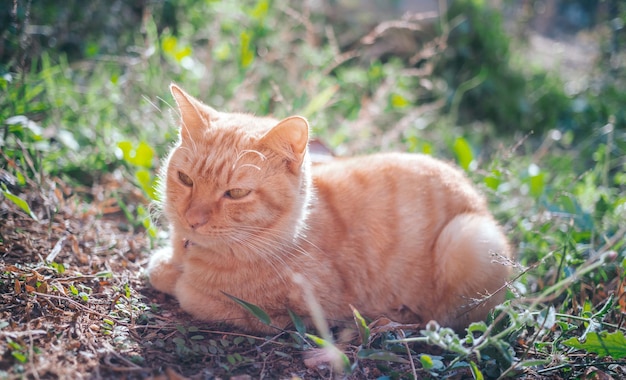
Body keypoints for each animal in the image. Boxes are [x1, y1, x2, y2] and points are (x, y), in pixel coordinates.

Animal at [149, 84, 510, 334]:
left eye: (236, 193)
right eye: (185, 179)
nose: (192, 220)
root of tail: (476, 196)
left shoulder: (295, 313)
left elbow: (189, 290)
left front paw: (178, 277)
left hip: (468, 239)